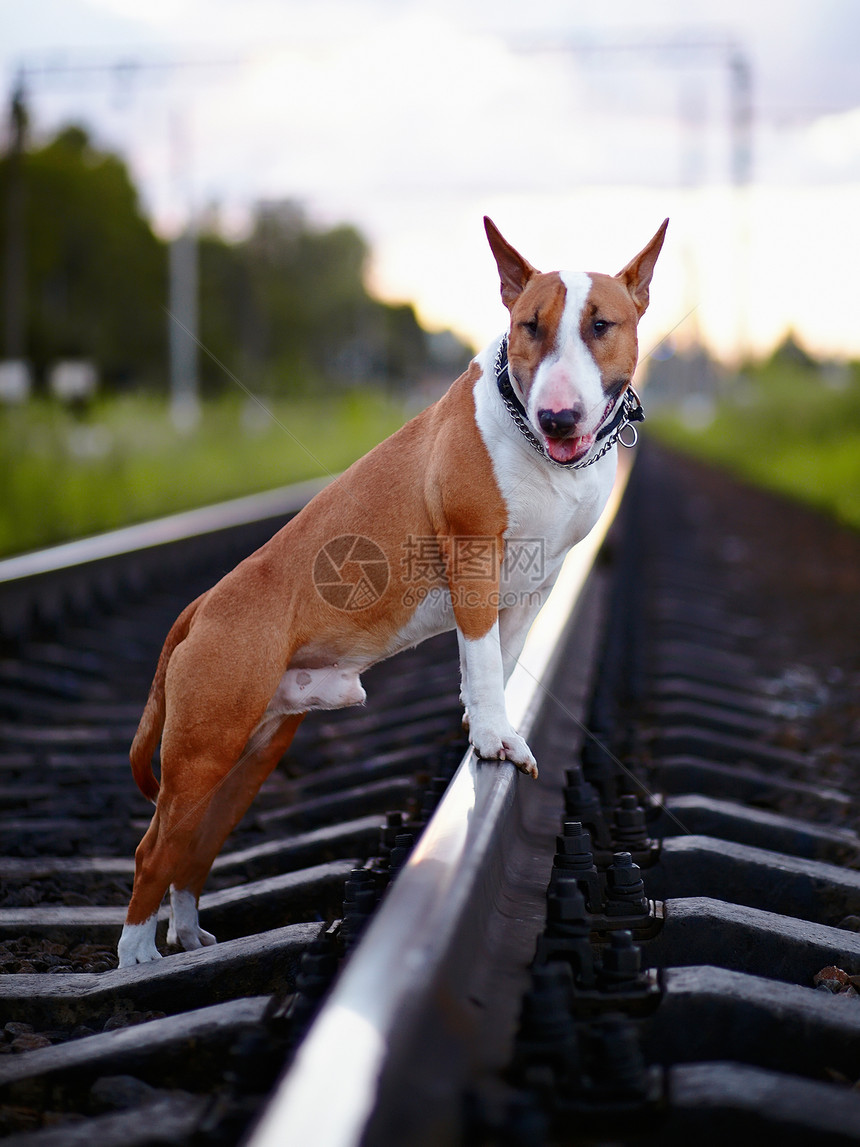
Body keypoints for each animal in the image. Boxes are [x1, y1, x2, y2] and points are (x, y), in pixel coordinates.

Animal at [116, 216, 665, 968]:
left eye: (602, 324)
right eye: (530, 326)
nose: (557, 417)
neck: (534, 441)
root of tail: (199, 607)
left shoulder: (537, 585)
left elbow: (502, 660)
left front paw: (487, 729)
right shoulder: (473, 561)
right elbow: (482, 660)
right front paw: (494, 740)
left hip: (250, 755)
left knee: (190, 849)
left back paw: (190, 932)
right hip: (204, 751)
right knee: (151, 850)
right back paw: (136, 955)